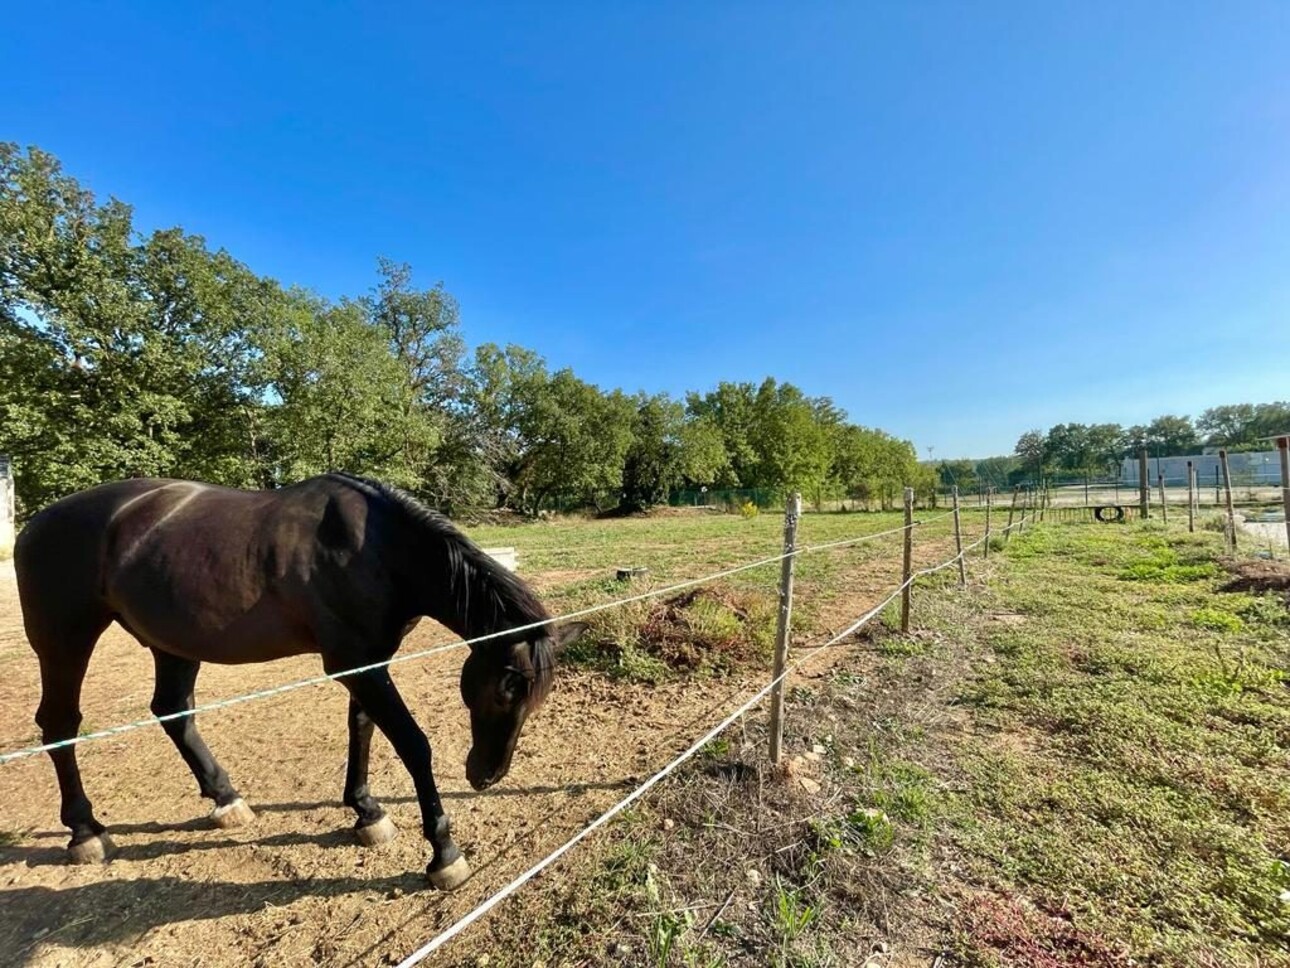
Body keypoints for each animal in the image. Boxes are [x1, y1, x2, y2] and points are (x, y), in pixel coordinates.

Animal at [13, 474, 590, 893]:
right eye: (504, 688)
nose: (486, 775)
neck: (376, 550)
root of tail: (36, 524)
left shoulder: (367, 664)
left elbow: (363, 728)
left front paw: (367, 812)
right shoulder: (358, 664)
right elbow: (411, 744)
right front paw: (443, 853)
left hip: (172, 641)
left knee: (173, 710)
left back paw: (226, 799)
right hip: (64, 640)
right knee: (60, 725)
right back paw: (85, 832)